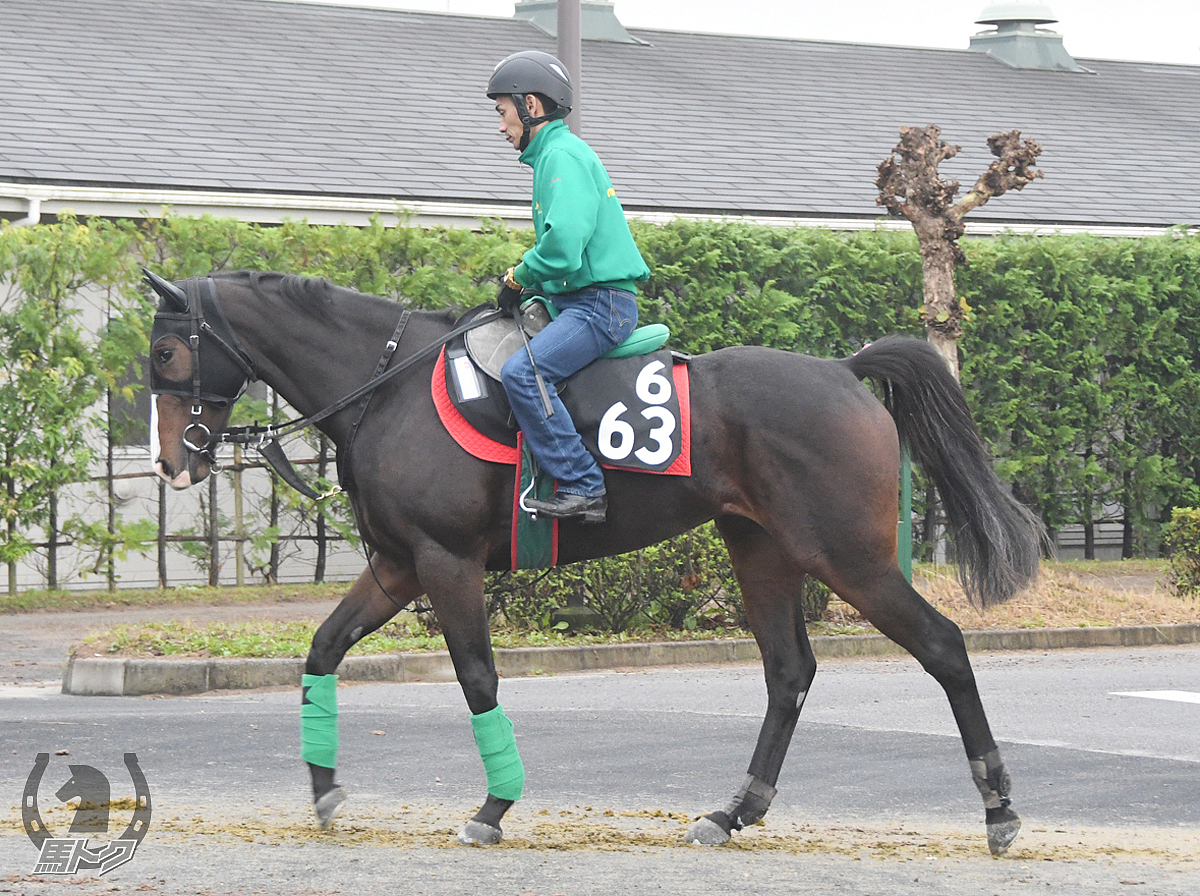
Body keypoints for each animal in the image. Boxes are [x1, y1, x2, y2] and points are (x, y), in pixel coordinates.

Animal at [147, 271, 1041, 854]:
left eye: (165, 356)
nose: (171, 463)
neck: (386, 384)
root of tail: (842, 370)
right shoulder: (398, 567)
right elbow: (323, 649)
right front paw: (324, 787)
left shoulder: (446, 562)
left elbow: (477, 677)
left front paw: (495, 805)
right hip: (763, 552)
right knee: (788, 673)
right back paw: (732, 812)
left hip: (848, 555)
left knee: (942, 645)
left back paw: (999, 808)